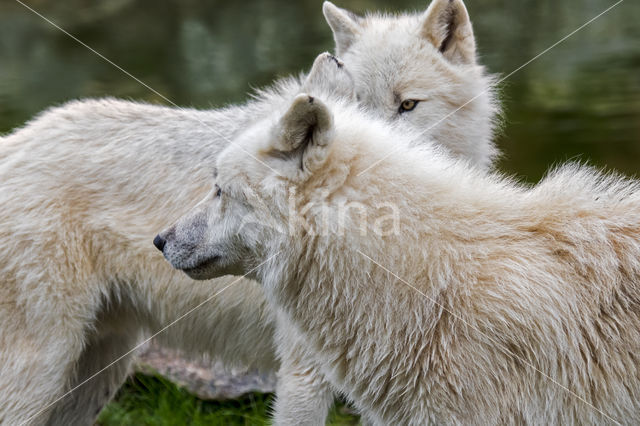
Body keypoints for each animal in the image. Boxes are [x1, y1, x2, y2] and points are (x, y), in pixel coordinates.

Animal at [0, 0, 496, 422]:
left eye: (407, 104)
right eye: (355, 107)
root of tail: (15, 142)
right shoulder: (304, 372)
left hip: (98, 370)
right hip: (44, 371)